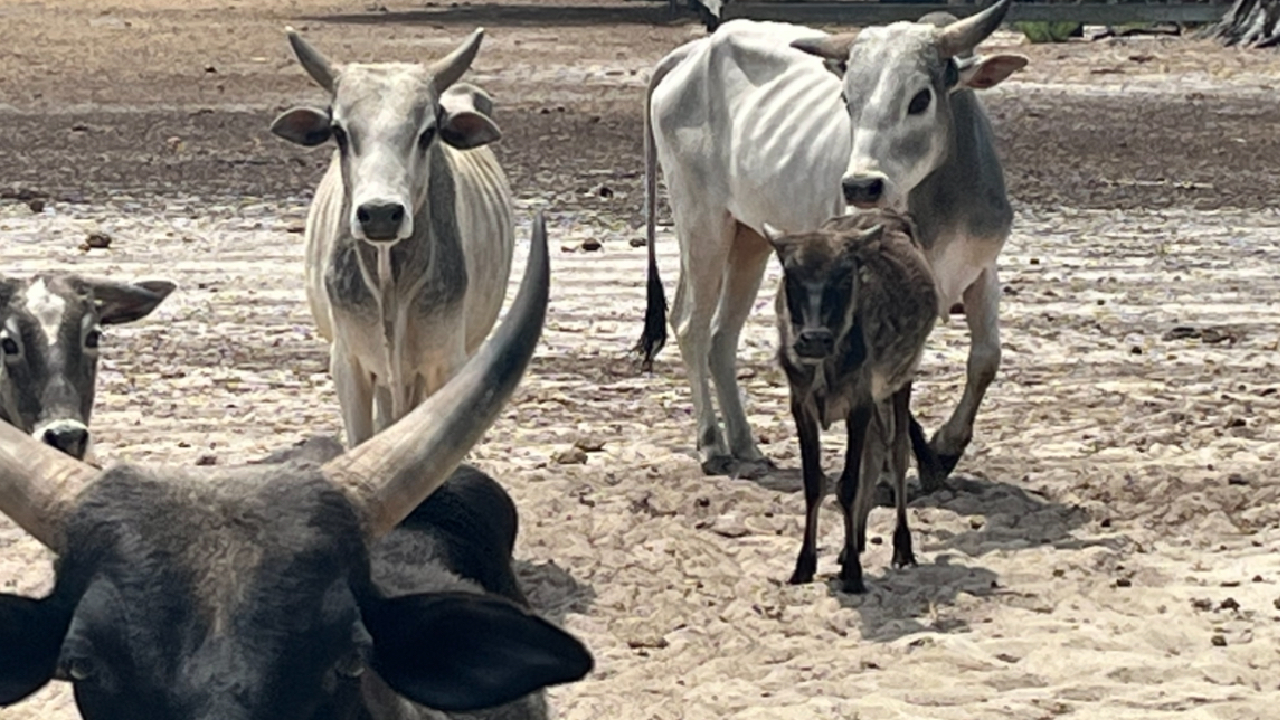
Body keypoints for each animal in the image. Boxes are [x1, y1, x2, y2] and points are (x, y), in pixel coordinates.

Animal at [271, 26, 516, 449]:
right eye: (339, 132)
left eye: (428, 133)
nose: (381, 213)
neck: (390, 282)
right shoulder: (348, 363)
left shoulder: (446, 363)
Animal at [635, 0, 1027, 488]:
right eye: (847, 101)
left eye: (920, 98)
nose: (860, 186)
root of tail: (693, 51)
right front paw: (889, 472)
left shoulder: (982, 269)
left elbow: (986, 358)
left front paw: (944, 450)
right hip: (702, 224)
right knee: (691, 325)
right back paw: (712, 445)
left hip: (749, 238)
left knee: (722, 336)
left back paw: (746, 445)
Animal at [766, 210, 941, 594]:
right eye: (791, 274)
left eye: (845, 274)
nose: (814, 339)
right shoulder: (801, 404)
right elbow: (814, 483)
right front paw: (805, 565)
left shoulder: (859, 401)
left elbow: (848, 484)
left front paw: (853, 573)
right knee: (875, 454)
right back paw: (854, 543)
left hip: (899, 381)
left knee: (897, 454)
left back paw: (901, 547)